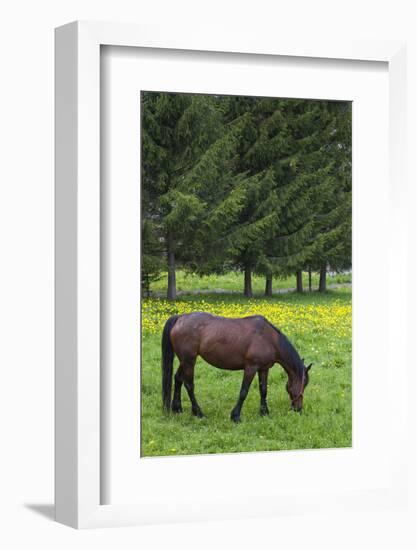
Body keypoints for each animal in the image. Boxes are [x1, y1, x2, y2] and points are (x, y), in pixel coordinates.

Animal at [161, 312, 310, 424]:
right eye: (303, 384)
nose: (298, 409)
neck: (269, 339)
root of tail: (180, 317)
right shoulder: (251, 368)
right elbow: (243, 391)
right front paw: (235, 416)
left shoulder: (263, 369)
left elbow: (263, 390)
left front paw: (264, 412)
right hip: (189, 360)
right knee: (189, 385)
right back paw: (198, 413)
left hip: (184, 360)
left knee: (178, 379)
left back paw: (177, 408)